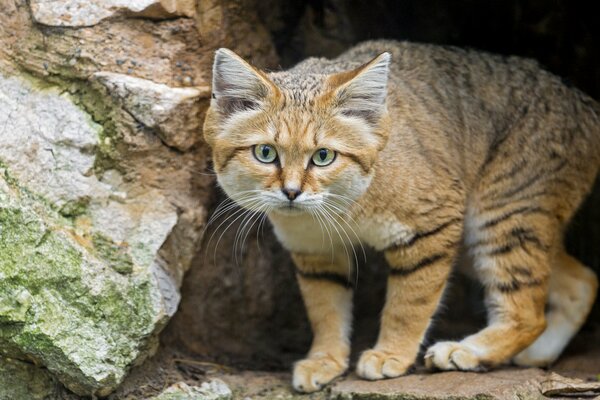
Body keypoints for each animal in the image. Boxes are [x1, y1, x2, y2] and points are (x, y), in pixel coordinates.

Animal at [203, 41, 600, 394]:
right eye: (265, 153)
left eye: (323, 157)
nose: (291, 192)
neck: (343, 207)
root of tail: (585, 103)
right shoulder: (315, 251)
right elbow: (325, 309)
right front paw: (325, 360)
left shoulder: (431, 226)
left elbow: (410, 303)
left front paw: (391, 354)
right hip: (485, 237)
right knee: (581, 282)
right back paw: (535, 354)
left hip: (500, 217)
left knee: (528, 311)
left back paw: (468, 351)